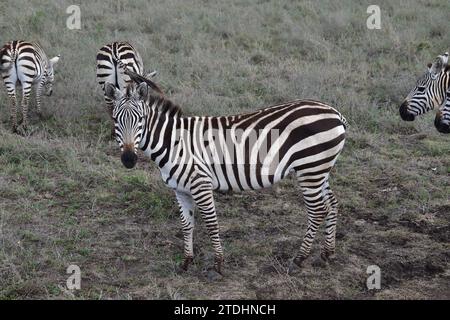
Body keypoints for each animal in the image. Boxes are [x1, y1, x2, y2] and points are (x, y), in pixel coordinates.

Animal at [103, 68, 346, 276]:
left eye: (140, 120)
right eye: (115, 120)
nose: (128, 159)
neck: (174, 143)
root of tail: (336, 113)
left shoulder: (201, 184)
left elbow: (211, 223)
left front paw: (218, 264)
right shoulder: (180, 190)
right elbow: (187, 225)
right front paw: (187, 262)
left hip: (310, 169)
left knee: (317, 210)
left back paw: (299, 259)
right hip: (319, 169)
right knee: (332, 203)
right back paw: (327, 253)